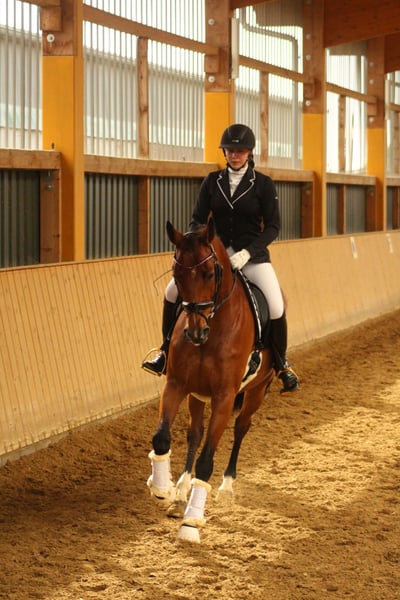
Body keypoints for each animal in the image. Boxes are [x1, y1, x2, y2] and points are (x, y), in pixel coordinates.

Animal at [147, 219, 275, 543]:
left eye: (209, 273)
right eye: (177, 275)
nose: (195, 333)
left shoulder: (224, 397)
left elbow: (207, 459)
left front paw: (191, 523)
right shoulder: (177, 384)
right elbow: (163, 437)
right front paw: (162, 488)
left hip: (255, 392)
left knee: (241, 428)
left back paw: (226, 487)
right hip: (196, 395)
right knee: (195, 433)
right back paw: (181, 489)